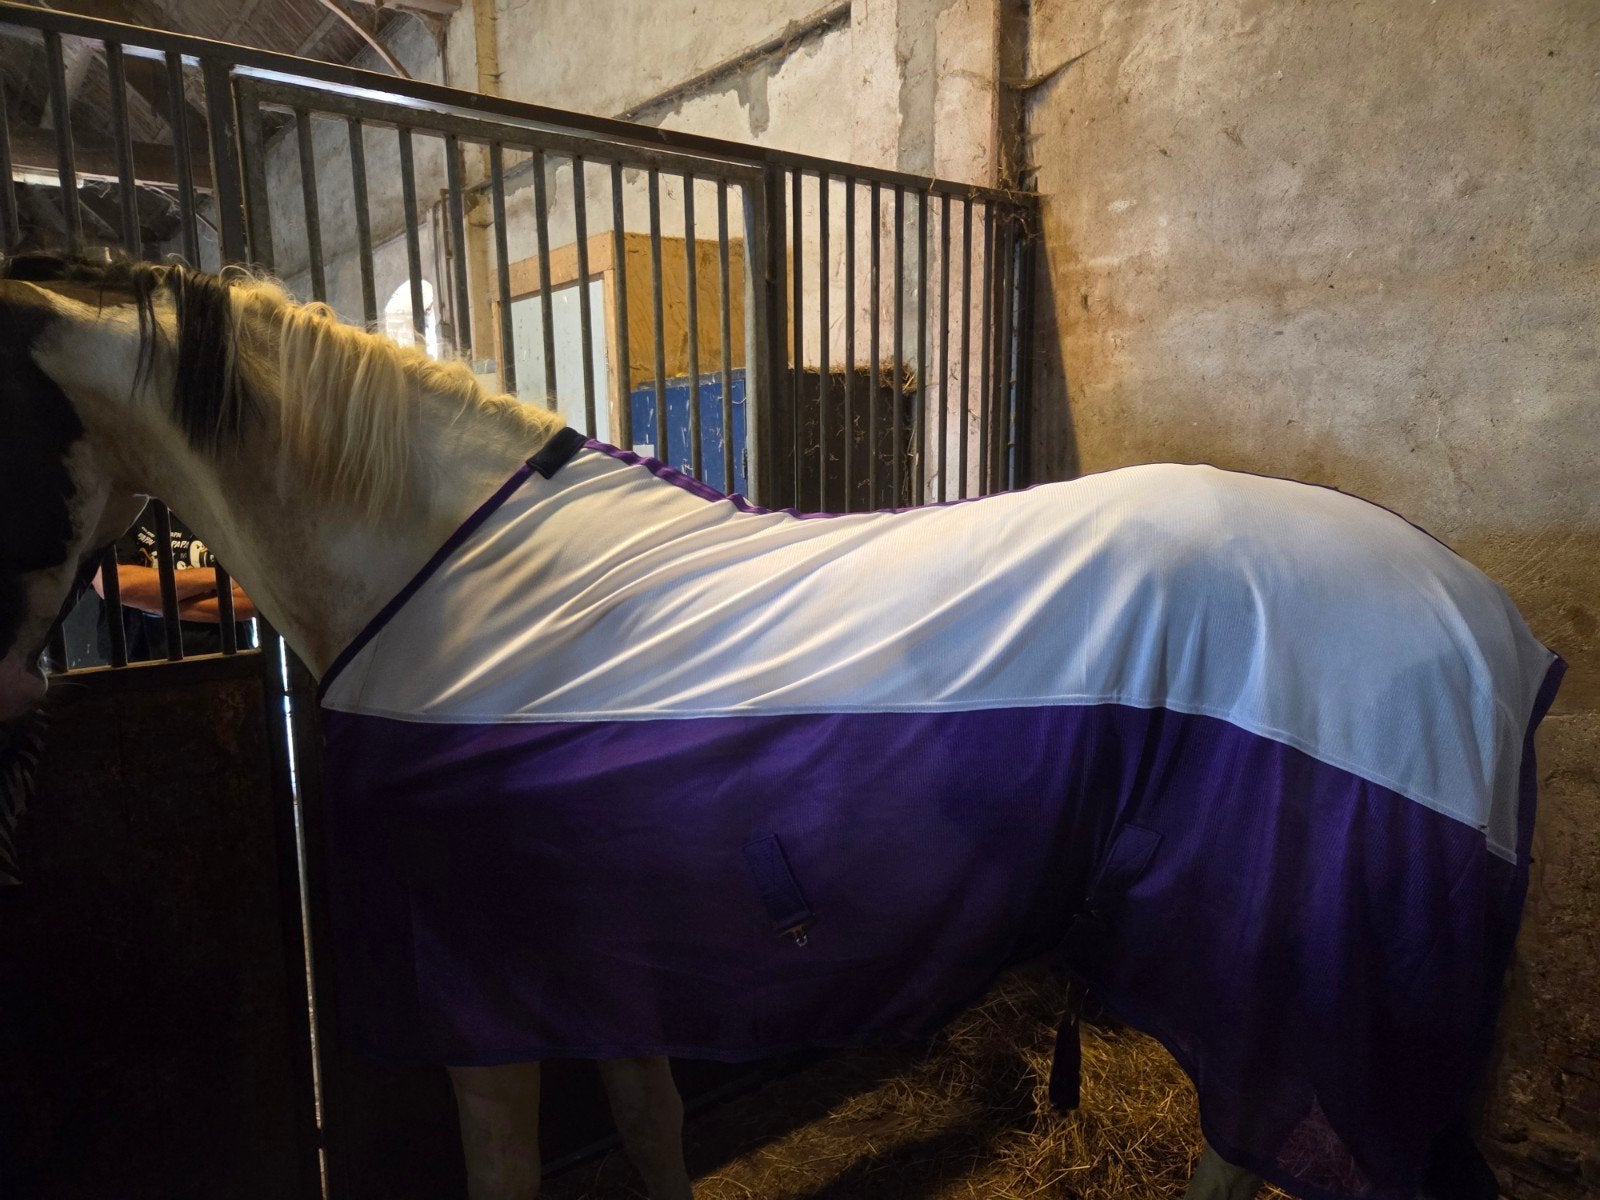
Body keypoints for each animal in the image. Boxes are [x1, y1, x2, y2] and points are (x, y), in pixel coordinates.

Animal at [0, 254, 1563, 1200]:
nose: (12, 688)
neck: (452, 578)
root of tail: (1492, 627)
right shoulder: (596, 968)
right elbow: (651, 1128)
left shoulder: (481, 1007)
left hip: (1283, 981)